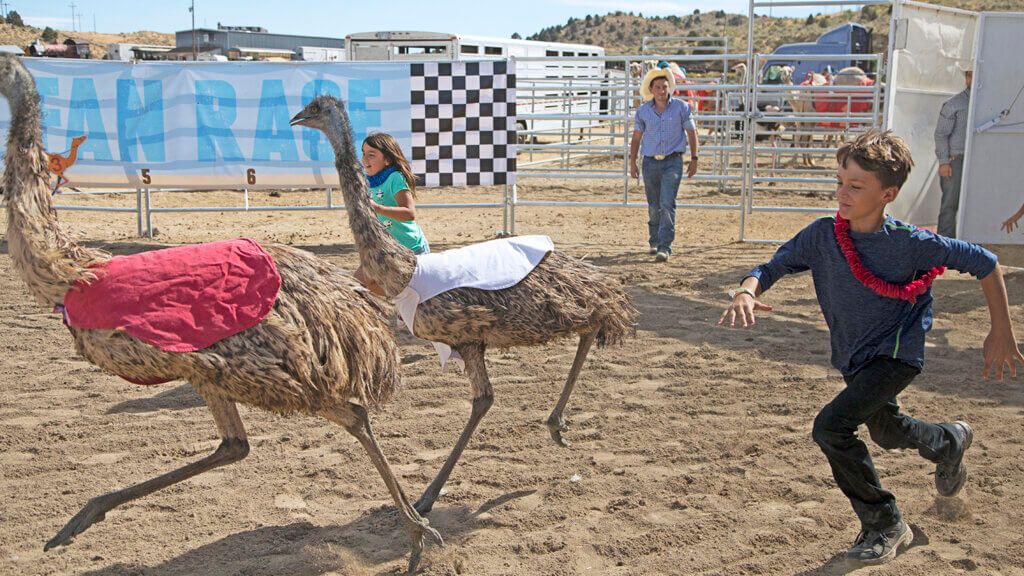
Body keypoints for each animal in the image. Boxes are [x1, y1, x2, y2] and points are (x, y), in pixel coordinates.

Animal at [0, 53, 436, 569]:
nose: (296, 117)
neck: (72, 270)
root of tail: (364, 328)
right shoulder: (201, 373)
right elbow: (232, 447)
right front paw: (81, 517)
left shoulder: (218, 364)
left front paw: (80, 517)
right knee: (245, 442)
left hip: (279, 375)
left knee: (354, 414)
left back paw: (418, 532)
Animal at [292, 96, 634, 512]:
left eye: (316, 107)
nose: (296, 117)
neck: (403, 269)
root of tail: (598, 281)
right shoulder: (470, 343)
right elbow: (483, 398)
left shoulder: (468, 337)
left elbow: (483, 400)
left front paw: (425, 499)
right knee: (590, 325)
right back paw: (556, 425)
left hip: (554, 313)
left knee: (592, 321)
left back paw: (555, 425)